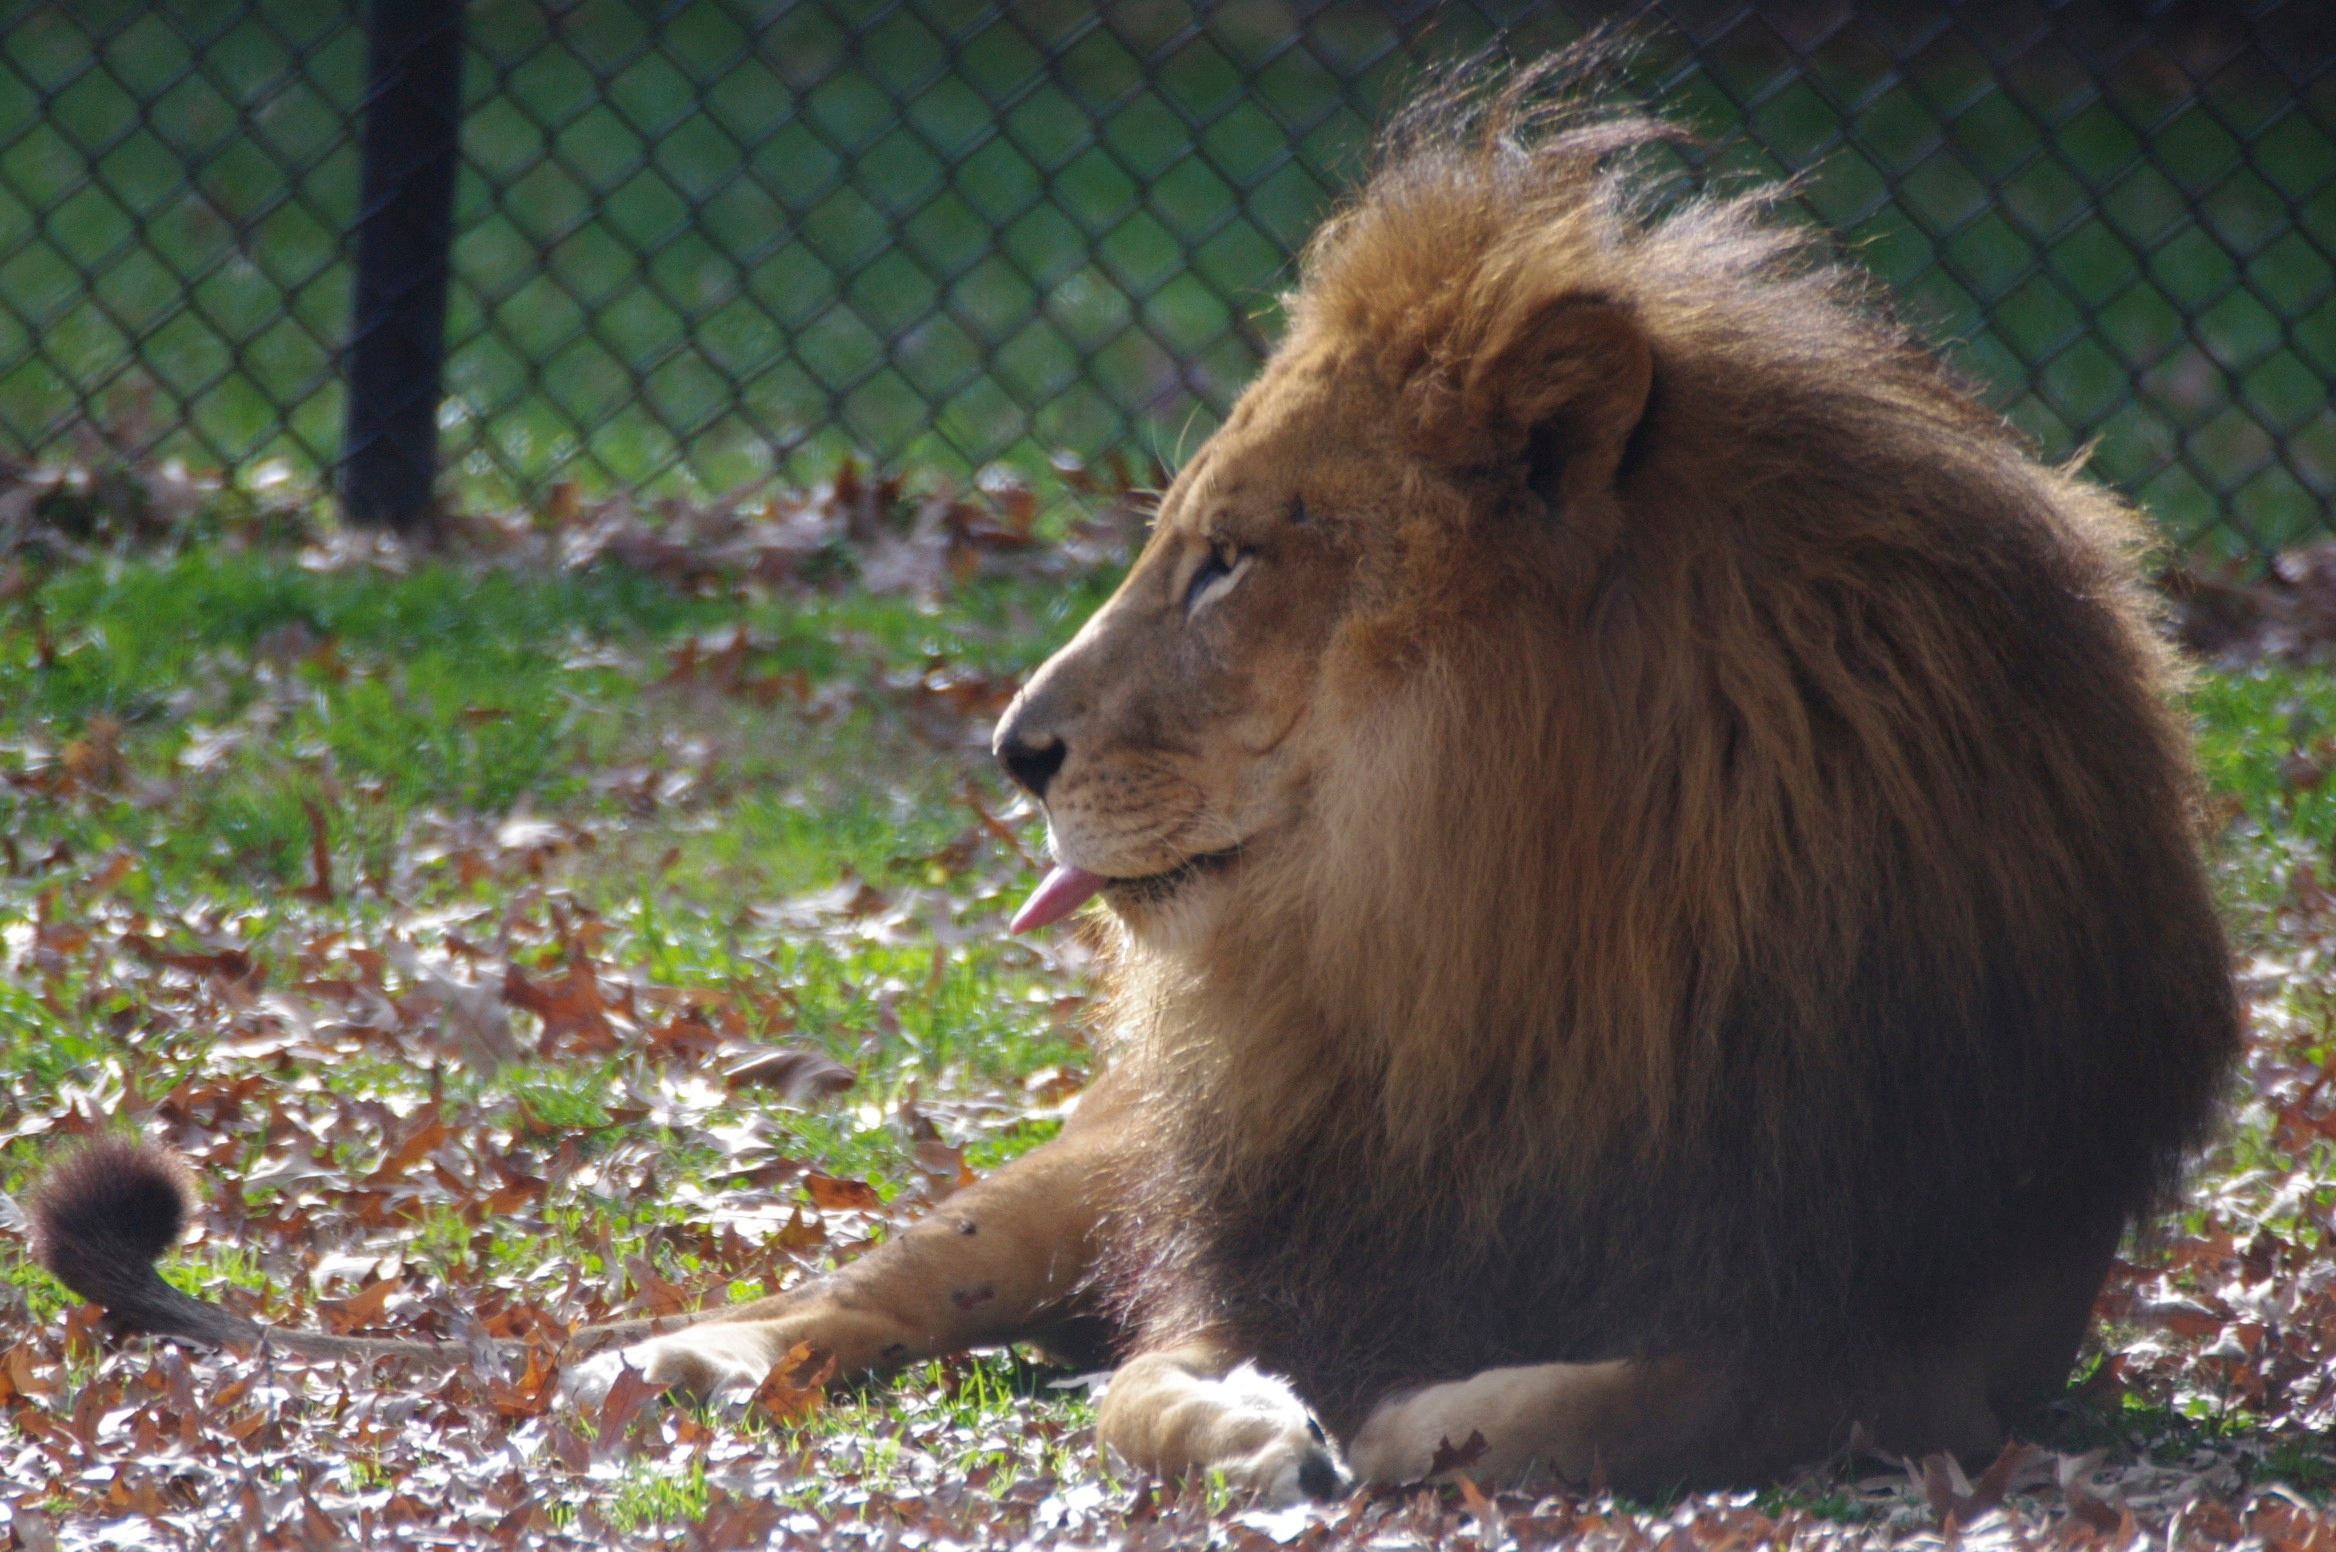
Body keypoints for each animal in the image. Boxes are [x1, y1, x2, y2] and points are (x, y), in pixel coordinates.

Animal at [31, 58, 2236, 1502]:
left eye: (1230, 557)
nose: (1013, 744)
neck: (1500, 935)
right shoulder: (1254, 1206)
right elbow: (1141, 1380)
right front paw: (1260, 1422)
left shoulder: (1934, 1301)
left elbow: (1685, 1386)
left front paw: (1426, 1419)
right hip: (1087, 1162)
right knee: (866, 1288)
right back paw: (665, 1364)